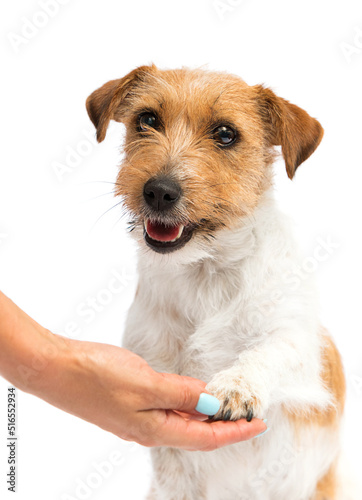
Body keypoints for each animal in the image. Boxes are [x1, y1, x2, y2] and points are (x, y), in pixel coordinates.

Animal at [86, 66, 346, 500]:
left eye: (225, 134)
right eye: (147, 119)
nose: (159, 191)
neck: (205, 272)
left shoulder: (302, 351)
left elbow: (271, 351)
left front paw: (236, 388)